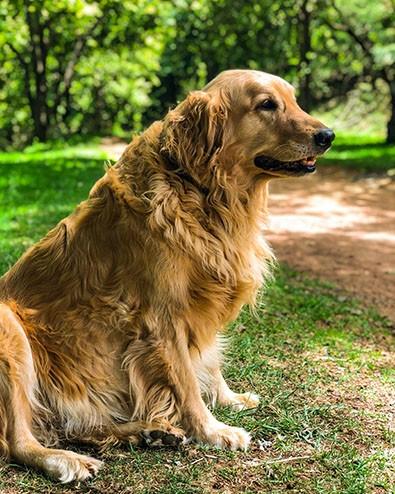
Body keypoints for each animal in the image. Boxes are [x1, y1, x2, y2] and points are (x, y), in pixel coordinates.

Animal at [0, 70, 334, 482]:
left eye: (293, 99)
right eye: (266, 104)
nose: (328, 135)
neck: (201, 190)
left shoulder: (202, 307)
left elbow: (209, 361)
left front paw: (229, 399)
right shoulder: (162, 318)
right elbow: (186, 382)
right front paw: (213, 430)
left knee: (77, 428)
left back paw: (147, 432)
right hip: (11, 330)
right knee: (18, 441)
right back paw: (67, 459)